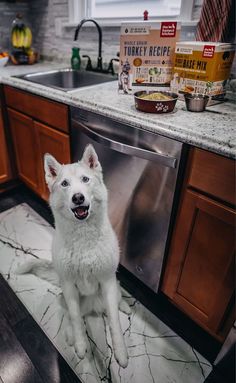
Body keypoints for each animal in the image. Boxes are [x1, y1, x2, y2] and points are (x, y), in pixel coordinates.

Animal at [18, 145, 129, 368]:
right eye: (64, 184)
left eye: (85, 179)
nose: (77, 197)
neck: (83, 236)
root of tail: (94, 307)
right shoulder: (69, 285)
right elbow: (76, 318)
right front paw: (80, 344)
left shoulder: (107, 281)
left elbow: (114, 321)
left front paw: (120, 352)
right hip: (65, 296)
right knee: (71, 316)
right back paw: (70, 336)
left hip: (112, 287)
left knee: (116, 299)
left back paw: (125, 306)